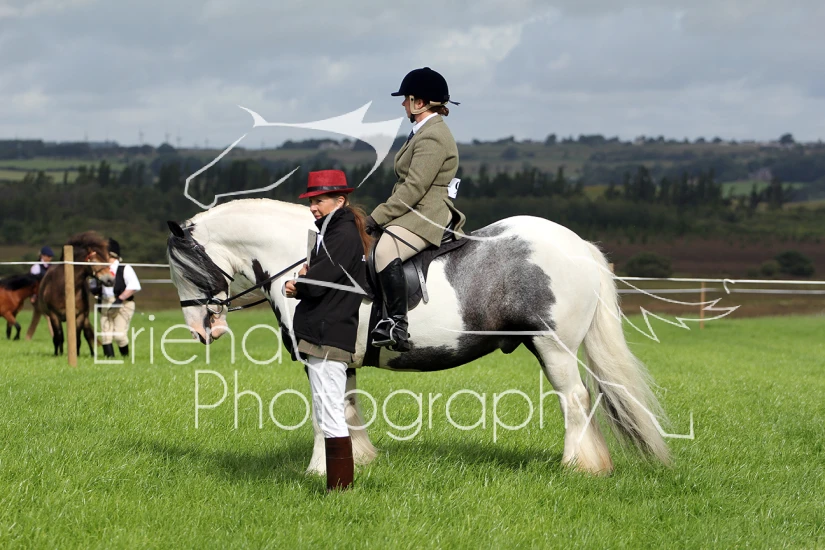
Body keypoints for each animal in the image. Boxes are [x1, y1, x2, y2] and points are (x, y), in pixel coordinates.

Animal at [166, 198, 670, 476]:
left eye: (182, 266)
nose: (202, 329)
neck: (309, 261)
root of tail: (577, 245)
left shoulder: (318, 357)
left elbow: (323, 413)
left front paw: (315, 471)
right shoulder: (340, 357)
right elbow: (346, 408)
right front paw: (358, 461)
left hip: (553, 346)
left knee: (575, 400)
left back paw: (576, 467)